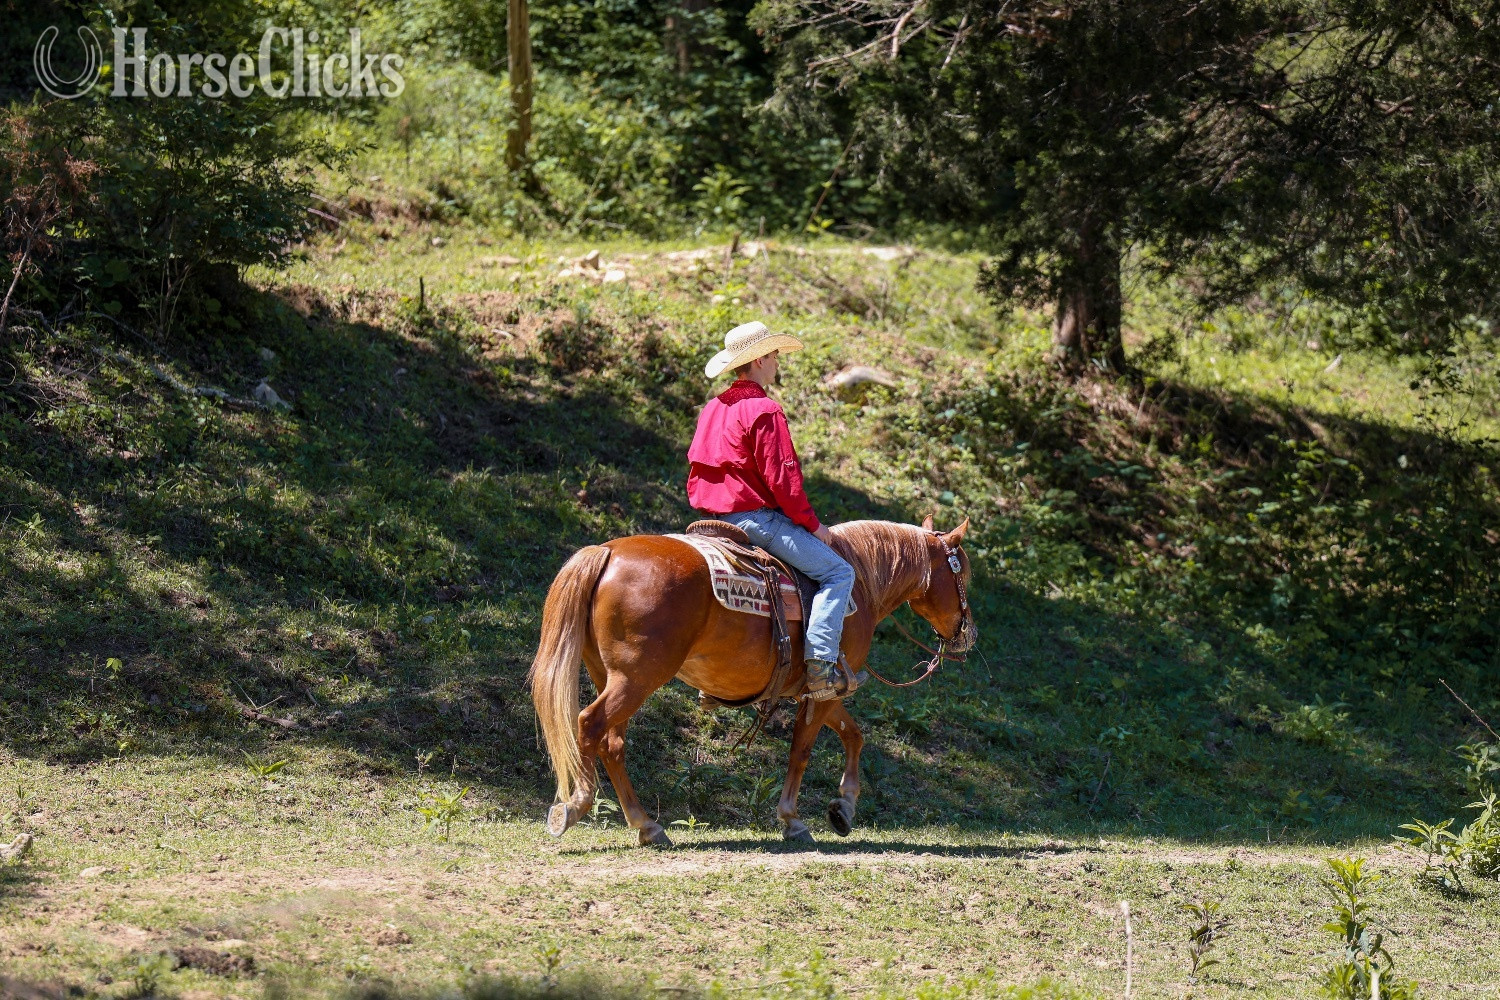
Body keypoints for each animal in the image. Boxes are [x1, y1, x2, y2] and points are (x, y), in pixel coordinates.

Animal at [528, 515, 975, 846]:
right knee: (590, 724)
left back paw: (647, 826)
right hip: (635, 679)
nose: (967, 634)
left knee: (612, 742)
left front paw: (843, 808)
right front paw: (793, 820)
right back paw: (576, 806)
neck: (860, 581)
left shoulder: (819, 691)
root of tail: (607, 552)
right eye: (963, 575)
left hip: (610, 675)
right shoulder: (823, 689)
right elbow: (802, 751)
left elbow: (854, 735)